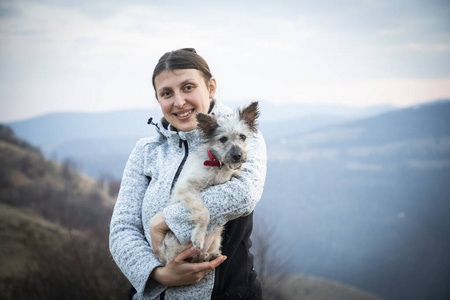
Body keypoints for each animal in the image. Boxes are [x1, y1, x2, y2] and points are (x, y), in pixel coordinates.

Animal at [158, 101, 260, 262]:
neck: (217, 164)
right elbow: (204, 213)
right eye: (223, 139)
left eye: (243, 137)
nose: (237, 155)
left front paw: (231, 171)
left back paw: (209, 255)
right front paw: (198, 237)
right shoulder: (186, 187)